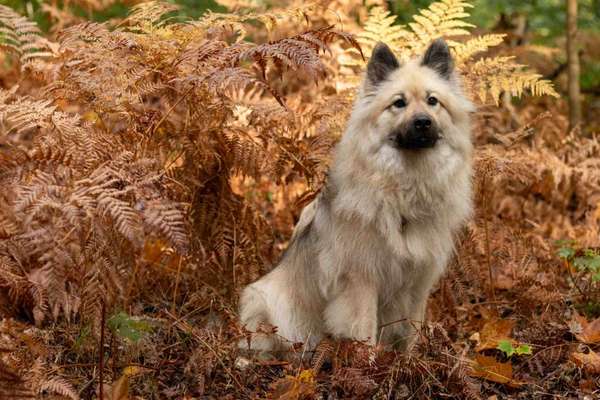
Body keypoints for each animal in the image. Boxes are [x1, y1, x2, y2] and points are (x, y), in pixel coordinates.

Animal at [238, 39, 474, 352]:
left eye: (433, 101)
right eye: (399, 103)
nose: (423, 122)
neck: (405, 188)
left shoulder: (418, 283)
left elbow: (411, 334)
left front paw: (411, 361)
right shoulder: (361, 282)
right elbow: (365, 334)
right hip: (264, 299)